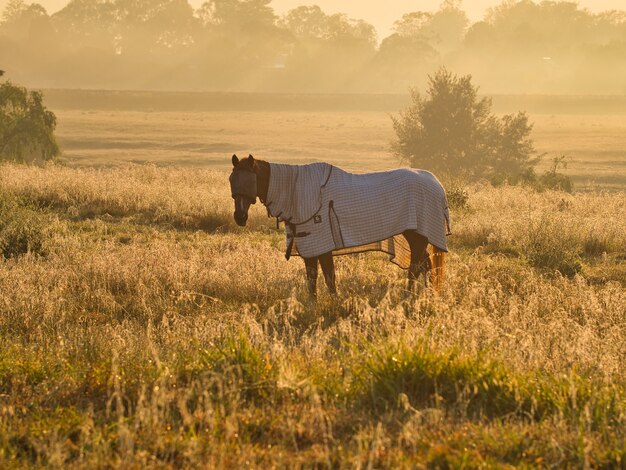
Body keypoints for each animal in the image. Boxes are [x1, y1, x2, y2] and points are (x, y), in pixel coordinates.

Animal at [229, 154, 448, 298]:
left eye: (249, 181)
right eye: (232, 180)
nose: (239, 217)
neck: (295, 190)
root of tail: (437, 184)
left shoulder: (321, 244)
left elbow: (328, 277)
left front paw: (334, 304)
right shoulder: (311, 246)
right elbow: (313, 279)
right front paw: (314, 306)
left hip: (417, 235)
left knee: (416, 266)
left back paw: (408, 296)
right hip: (415, 235)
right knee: (425, 264)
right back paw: (427, 295)